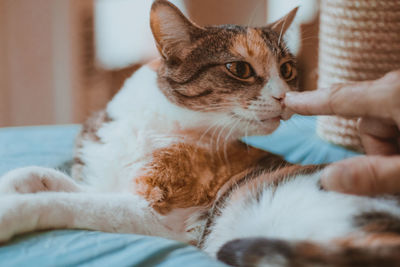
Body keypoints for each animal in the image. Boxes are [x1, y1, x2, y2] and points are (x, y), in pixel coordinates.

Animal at [0, 1, 400, 266]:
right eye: (239, 68)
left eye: (286, 70)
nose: (284, 97)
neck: (154, 124)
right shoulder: (112, 184)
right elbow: (47, 179)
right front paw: (14, 185)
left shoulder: (161, 214)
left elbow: (68, 203)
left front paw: (12, 211)